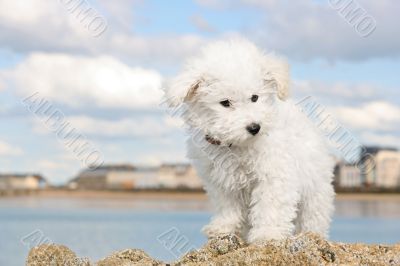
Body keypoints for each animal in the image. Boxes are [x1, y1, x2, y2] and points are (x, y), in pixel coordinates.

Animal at [164, 38, 336, 244]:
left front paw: (267, 233)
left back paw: (312, 235)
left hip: (315, 189)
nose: (255, 127)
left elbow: (271, 206)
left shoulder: (274, 176)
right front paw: (223, 227)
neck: (236, 145)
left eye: (255, 97)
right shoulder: (221, 182)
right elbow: (227, 207)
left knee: (312, 217)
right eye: (225, 103)